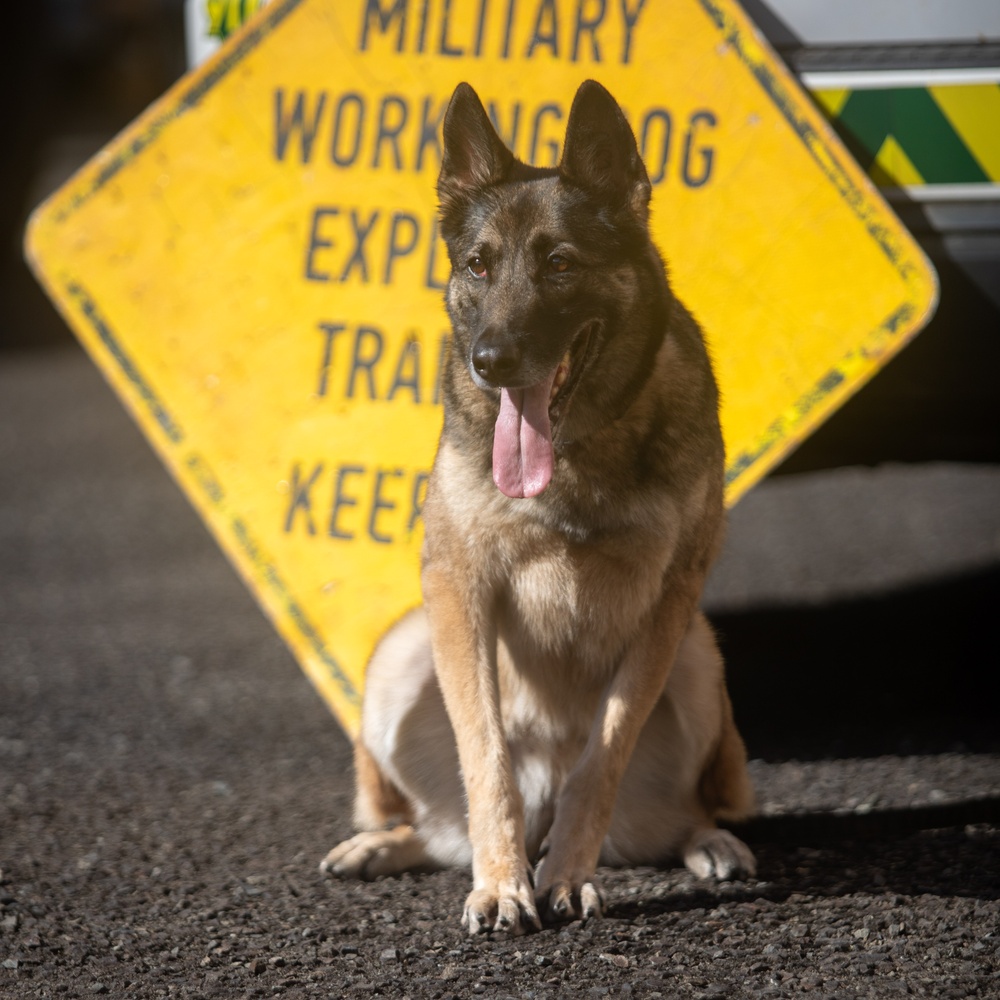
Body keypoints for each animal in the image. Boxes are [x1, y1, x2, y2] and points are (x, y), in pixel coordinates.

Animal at [324, 80, 752, 936]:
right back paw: (387, 844)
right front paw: (500, 884)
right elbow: (483, 753)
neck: (580, 449)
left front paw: (564, 877)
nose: (490, 362)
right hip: (398, 653)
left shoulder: (667, 606)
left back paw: (706, 842)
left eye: (560, 265)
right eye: (478, 266)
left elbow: (604, 752)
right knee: (438, 823)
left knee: (681, 812)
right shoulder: (459, 591)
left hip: (697, 654)